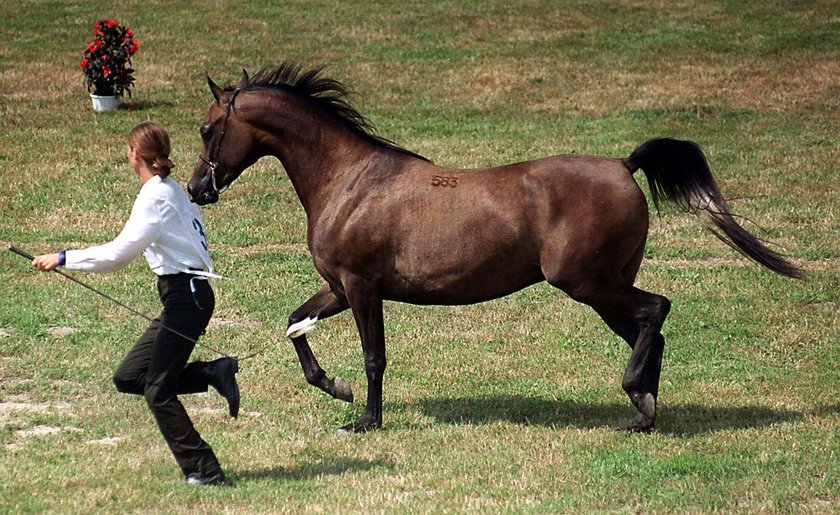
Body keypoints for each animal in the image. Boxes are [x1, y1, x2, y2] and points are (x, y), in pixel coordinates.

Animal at [189, 64, 800, 436]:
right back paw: (644, 411)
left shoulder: (362, 288)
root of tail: (623, 165)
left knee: (657, 311)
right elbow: (295, 324)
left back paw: (637, 400)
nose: (198, 189)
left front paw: (365, 420)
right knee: (651, 328)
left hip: (587, 284)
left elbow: (373, 356)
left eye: (206, 129)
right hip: (607, 288)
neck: (350, 180)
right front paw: (336, 390)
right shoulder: (339, 287)